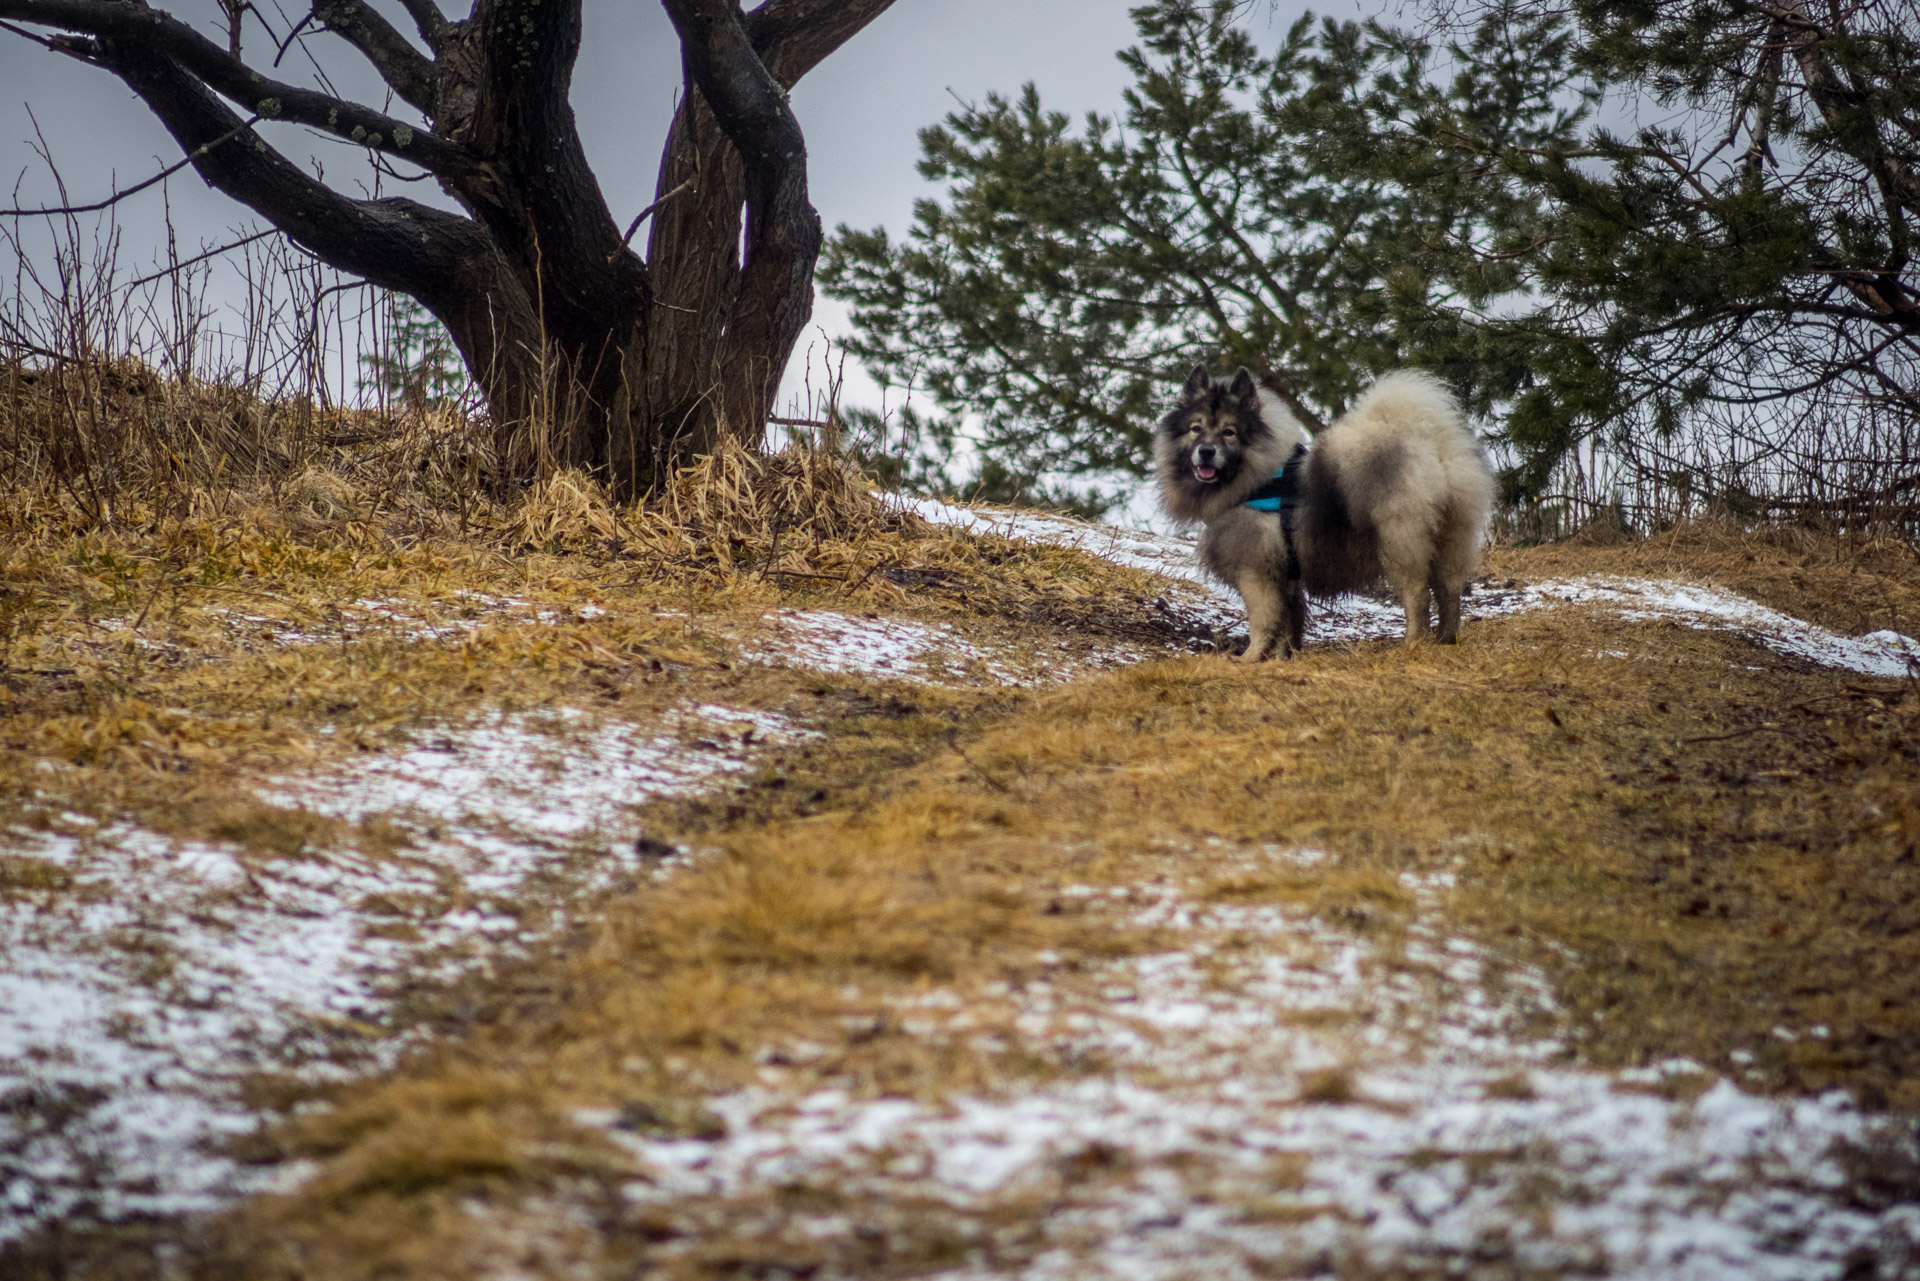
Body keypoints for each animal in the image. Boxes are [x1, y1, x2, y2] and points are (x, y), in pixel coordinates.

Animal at [1152, 361, 1497, 660]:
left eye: (1229, 432)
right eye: (1195, 429)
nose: (1206, 452)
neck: (1257, 477)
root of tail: (1432, 445)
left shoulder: (1256, 571)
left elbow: (1263, 620)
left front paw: (1249, 658)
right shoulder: (1285, 572)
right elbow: (1289, 621)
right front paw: (1282, 658)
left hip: (1400, 540)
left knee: (1418, 593)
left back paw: (1413, 642)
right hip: (1451, 537)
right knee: (1449, 591)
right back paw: (1446, 639)